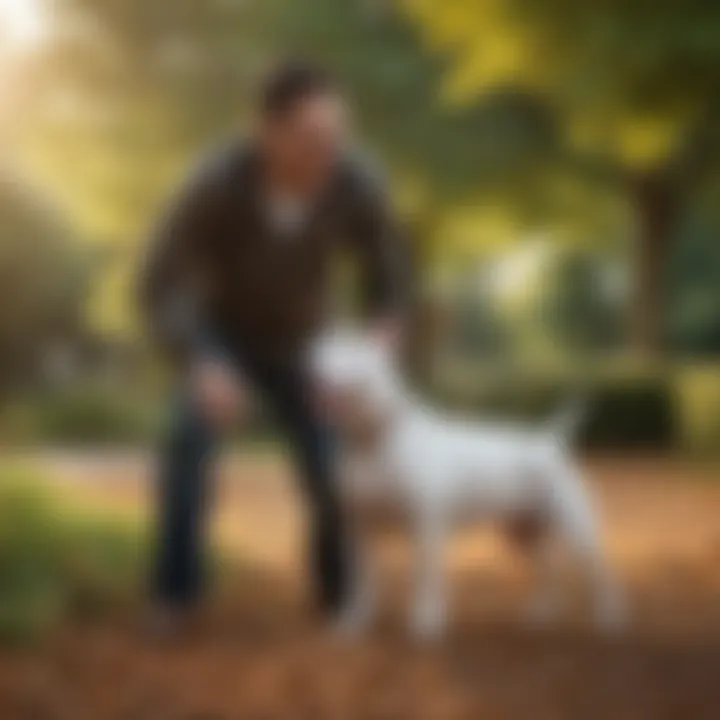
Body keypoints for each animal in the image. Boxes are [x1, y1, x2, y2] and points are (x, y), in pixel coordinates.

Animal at [310, 324, 624, 640]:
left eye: (351, 349)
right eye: (323, 346)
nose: (311, 365)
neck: (370, 440)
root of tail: (549, 440)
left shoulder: (426, 527)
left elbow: (426, 576)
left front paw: (426, 622)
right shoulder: (359, 529)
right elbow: (362, 582)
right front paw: (352, 623)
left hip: (575, 524)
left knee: (600, 572)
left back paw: (612, 617)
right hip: (520, 530)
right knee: (548, 567)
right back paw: (545, 612)